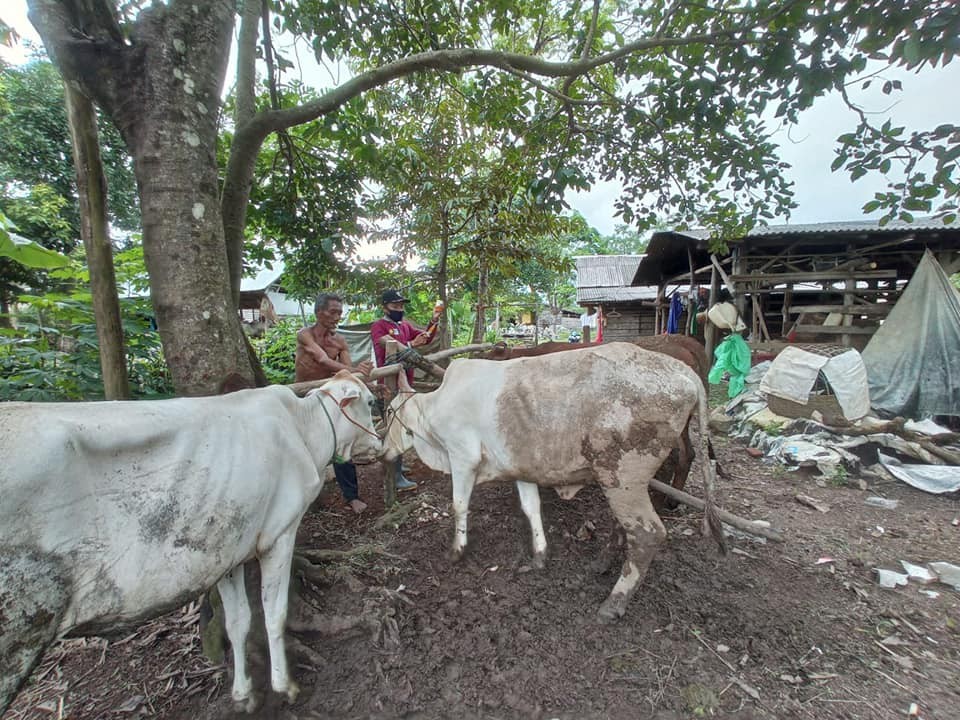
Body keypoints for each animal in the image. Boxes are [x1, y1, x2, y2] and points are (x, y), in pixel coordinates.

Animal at [0, 372, 382, 716]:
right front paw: (283, 686)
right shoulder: (279, 534)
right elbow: (275, 614)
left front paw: (243, 694)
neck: (304, 431)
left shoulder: (229, 551)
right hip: (21, 629)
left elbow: (238, 622)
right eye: (368, 402)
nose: (379, 443)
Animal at [378, 342, 724, 620]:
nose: (382, 452)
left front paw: (456, 551)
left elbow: (458, 506)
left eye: (389, 413)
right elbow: (532, 508)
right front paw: (540, 555)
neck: (434, 411)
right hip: (620, 482)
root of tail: (681, 370)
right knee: (625, 527)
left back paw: (614, 602)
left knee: (647, 533)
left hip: (623, 475)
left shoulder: (463, 458)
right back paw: (601, 564)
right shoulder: (520, 467)